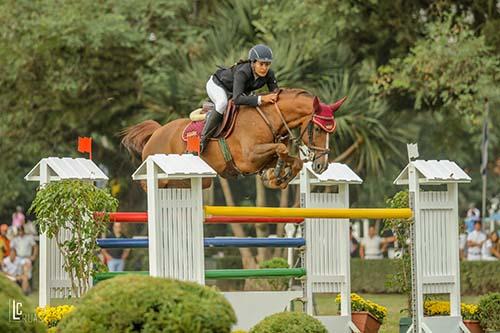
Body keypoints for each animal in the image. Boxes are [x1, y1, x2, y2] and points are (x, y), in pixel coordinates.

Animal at [123, 87, 346, 189]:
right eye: (317, 130)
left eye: (331, 131)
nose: (321, 166)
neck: (269, 118)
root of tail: (156, 133)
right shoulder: (248, 159)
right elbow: (282, 150)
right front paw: (277, 176)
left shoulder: (262, 158)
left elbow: (294, 160)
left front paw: (276, 177)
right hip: (159, 180)